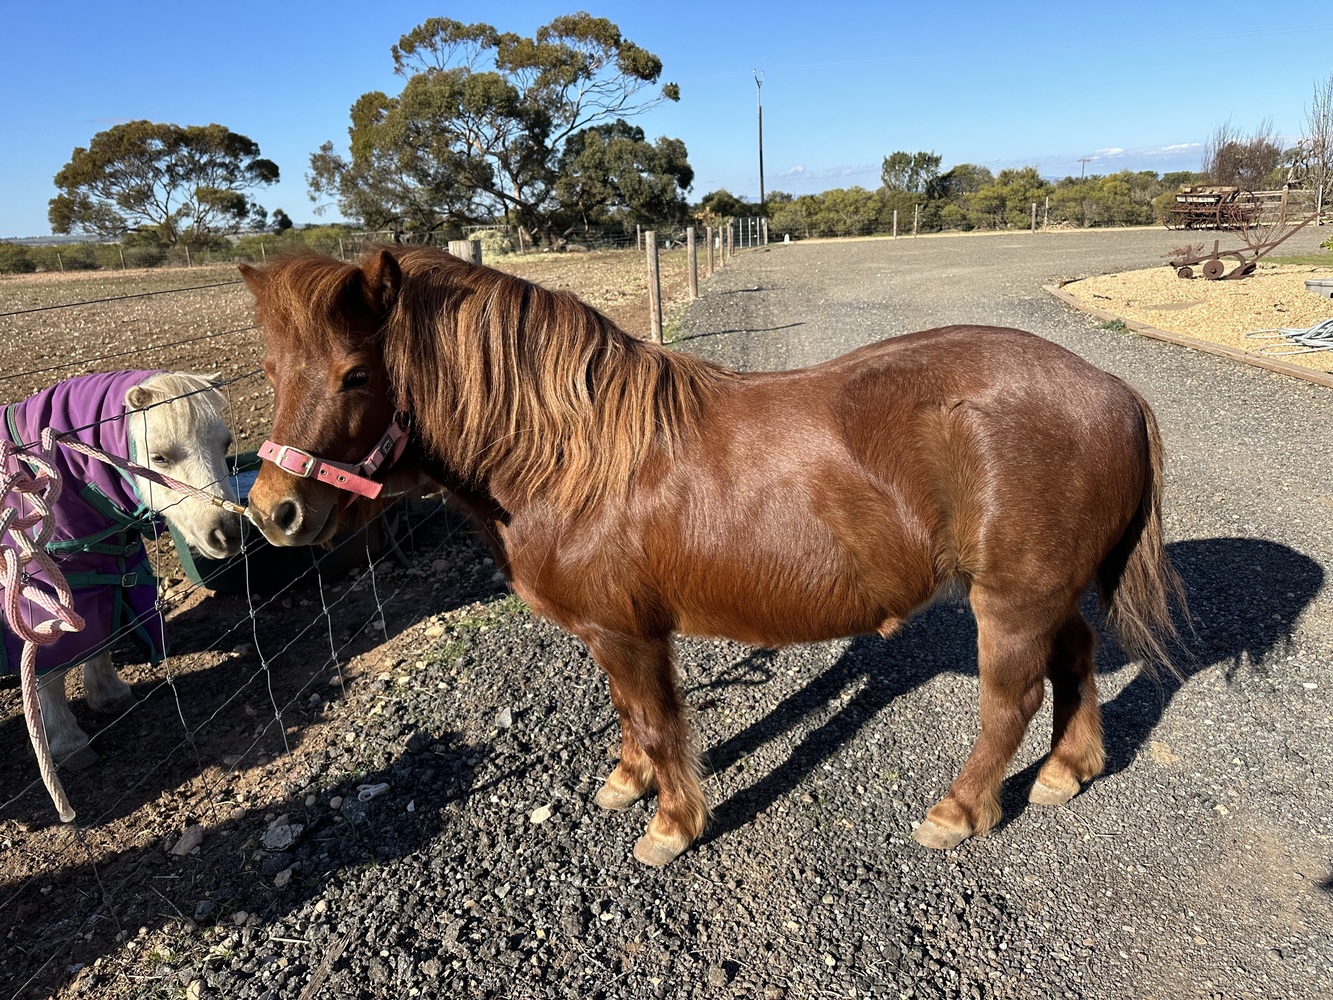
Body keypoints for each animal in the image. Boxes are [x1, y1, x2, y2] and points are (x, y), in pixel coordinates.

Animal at [1, 370, 242, 760]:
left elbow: (105, 631)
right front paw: (66, 741)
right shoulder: (42, 591)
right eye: (159, 457)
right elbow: (49, 667)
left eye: (226, 444)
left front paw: (109, 695)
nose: (228, 533)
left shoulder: (108, 573)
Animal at [239, 246, 1184, 866]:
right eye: (272, 370)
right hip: (1044, 591)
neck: (569, 455)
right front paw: (625, 784)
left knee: (1011, 700)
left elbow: (658, 722)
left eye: (357, 374)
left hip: (1012, 601)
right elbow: (626, 715)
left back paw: (958, 811)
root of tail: (1114, 390)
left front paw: (668, 827)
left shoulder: (630, 633)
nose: (273, 512)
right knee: (1077, 659)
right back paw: (1067, 772)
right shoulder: (607, 633)